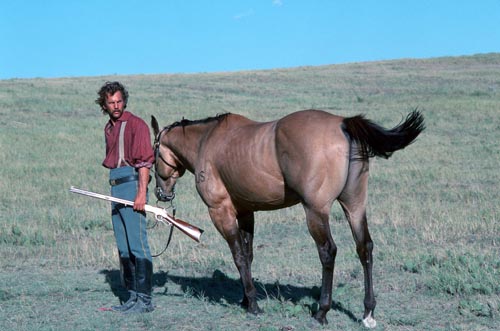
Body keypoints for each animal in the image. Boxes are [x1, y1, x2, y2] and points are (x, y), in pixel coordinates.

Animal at [150, 108, 424, 326]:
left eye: (153, 156)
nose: (161, 193)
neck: (207, 141)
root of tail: (342, 123)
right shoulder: (246, 211)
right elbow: (248, 255)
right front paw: (246, 298)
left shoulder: (221, 212)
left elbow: (239, 256)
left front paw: (253, 305)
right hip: (354, 207)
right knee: (364, 247)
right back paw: (368, 312)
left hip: (315, 212)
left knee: (328, 251)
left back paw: (322, 312)